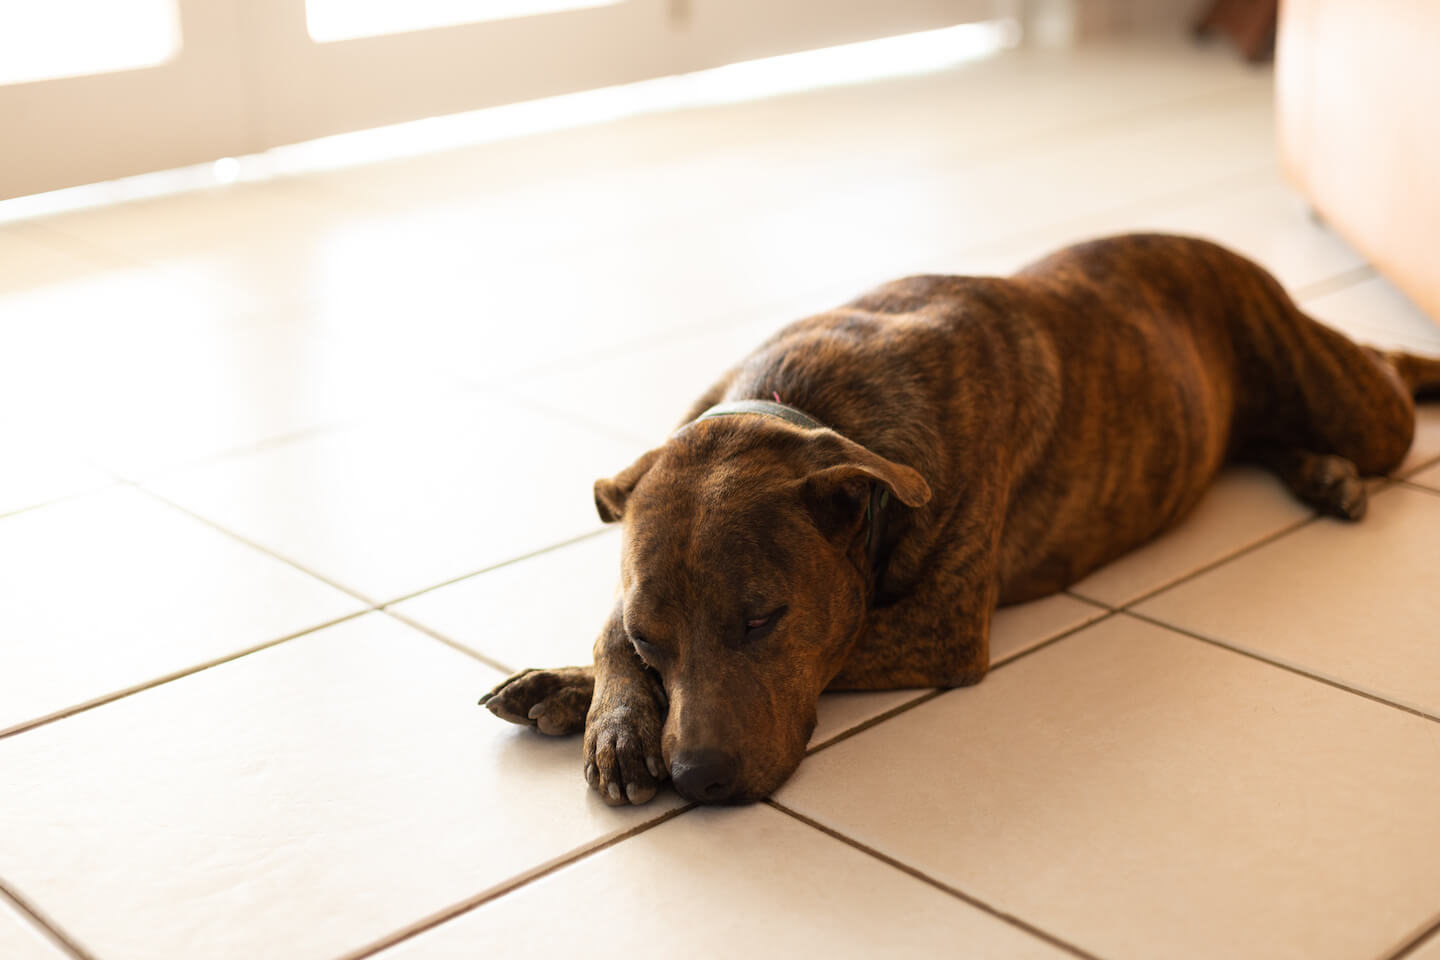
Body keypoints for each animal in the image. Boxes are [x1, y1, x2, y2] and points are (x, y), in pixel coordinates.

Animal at [480, 236, 1440, 805]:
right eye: (654, 641)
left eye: (763, 620)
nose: (697, 779)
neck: (804, 404)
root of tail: (1223, 249)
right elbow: (605, 628)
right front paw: (596, 705)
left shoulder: (937, 629)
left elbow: (840, 643)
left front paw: (589, 702)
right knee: (1266, 437)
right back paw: (1320, 473)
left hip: (1349, 400)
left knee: (1386, 376)